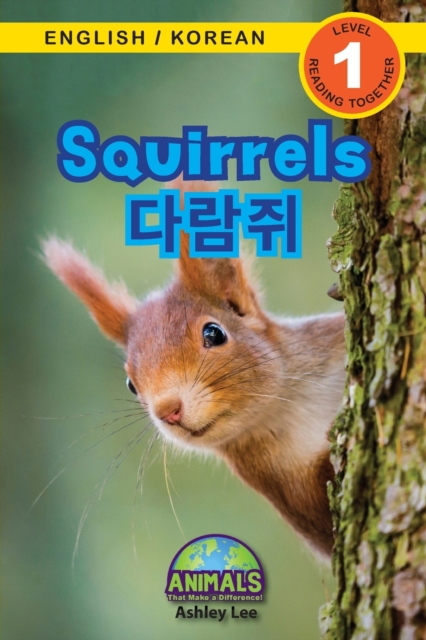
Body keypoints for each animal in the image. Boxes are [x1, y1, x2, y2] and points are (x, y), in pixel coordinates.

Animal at [42, 179, 346, 558]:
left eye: (214, 333)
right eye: (130, 384)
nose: (168, 410)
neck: (290, 406)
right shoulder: (286, 489)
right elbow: (326, 524)